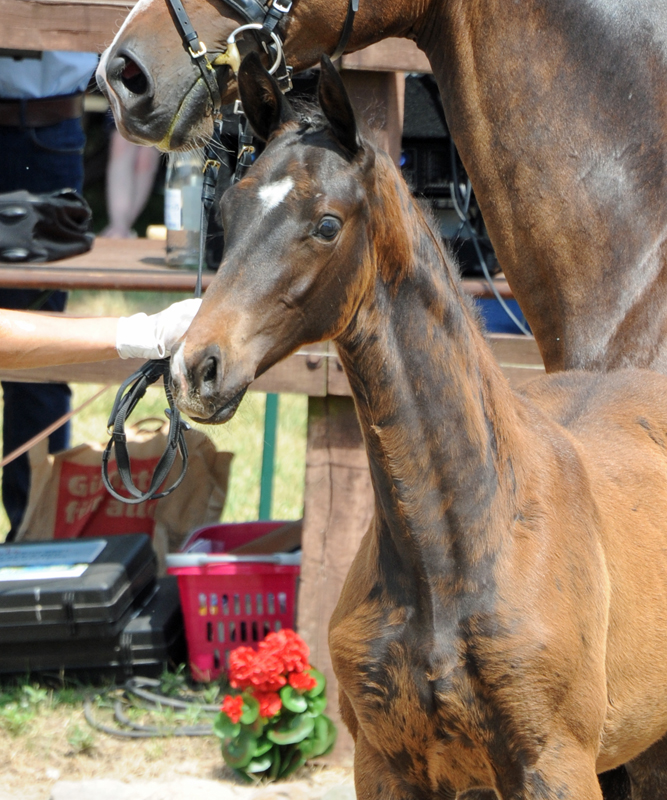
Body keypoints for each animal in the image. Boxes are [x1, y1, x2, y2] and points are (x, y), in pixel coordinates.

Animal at [172, 53, 667, 796]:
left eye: (326, 224)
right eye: (228, 211)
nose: (195, 369)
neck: (460, 550)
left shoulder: (556, 764)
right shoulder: (386, 764)